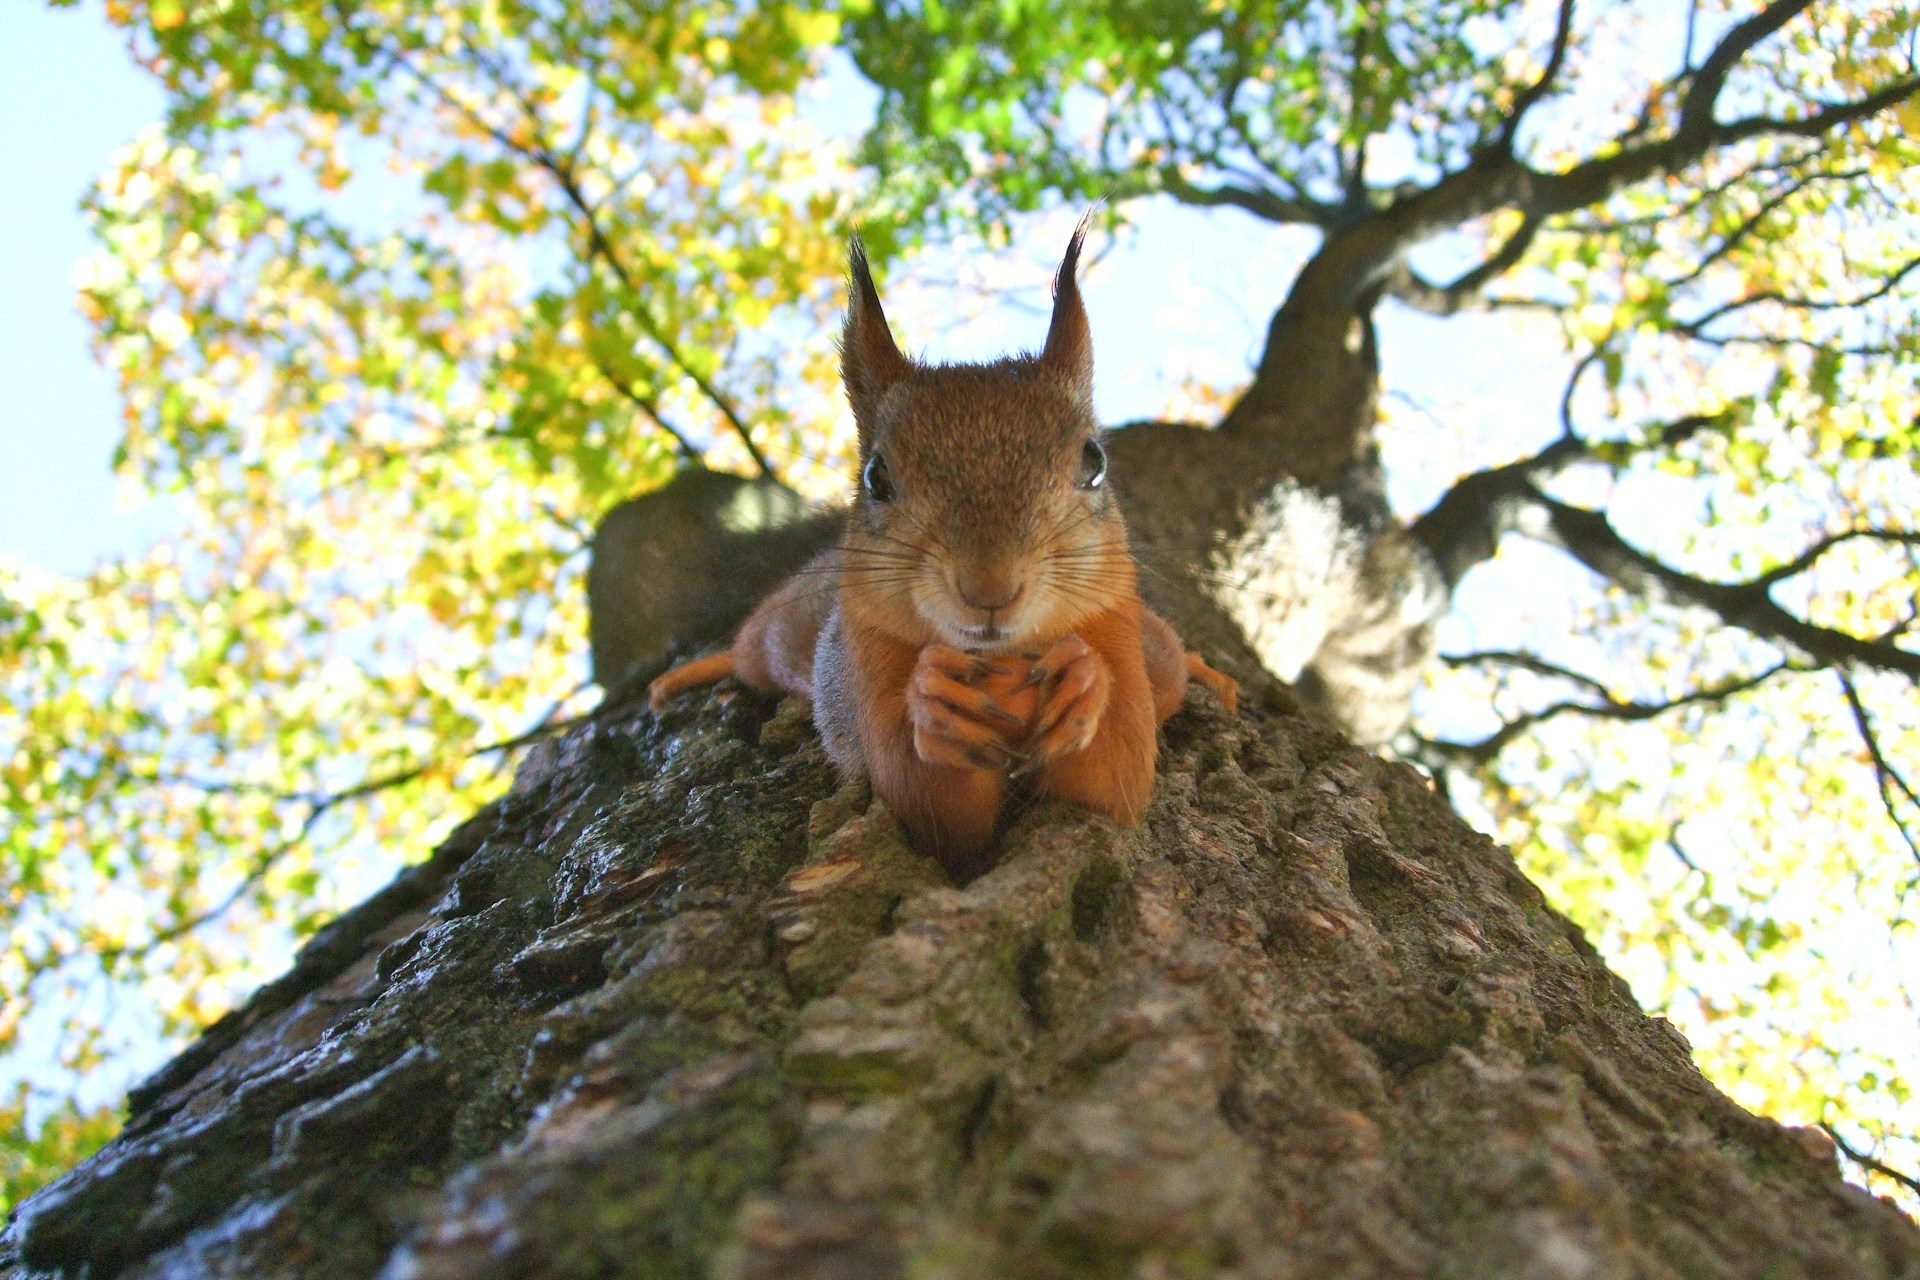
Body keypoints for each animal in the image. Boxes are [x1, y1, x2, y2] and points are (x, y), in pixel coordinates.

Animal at [652, 225, 1236, 875]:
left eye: (1095, 462)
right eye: (876, 478)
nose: (989, 589)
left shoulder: (1116, 630)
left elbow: (1114, 781)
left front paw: (1084, 679)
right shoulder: (868, 662)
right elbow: (931, 807)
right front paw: (935, 701)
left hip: (1154, 649)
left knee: (1172, 661)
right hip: (782, 636)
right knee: (748, 652)